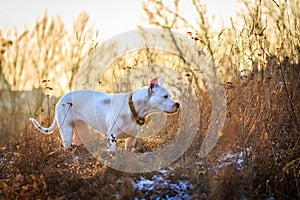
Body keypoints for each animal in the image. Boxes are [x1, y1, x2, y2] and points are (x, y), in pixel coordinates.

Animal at [29, 77, 180, 151]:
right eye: (165, 96)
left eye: (171, 96)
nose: (177, 104)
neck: (133, 108)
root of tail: (62, 98)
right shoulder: (112, 137)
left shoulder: (132, 139)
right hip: (66, 130)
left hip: (82, 130)